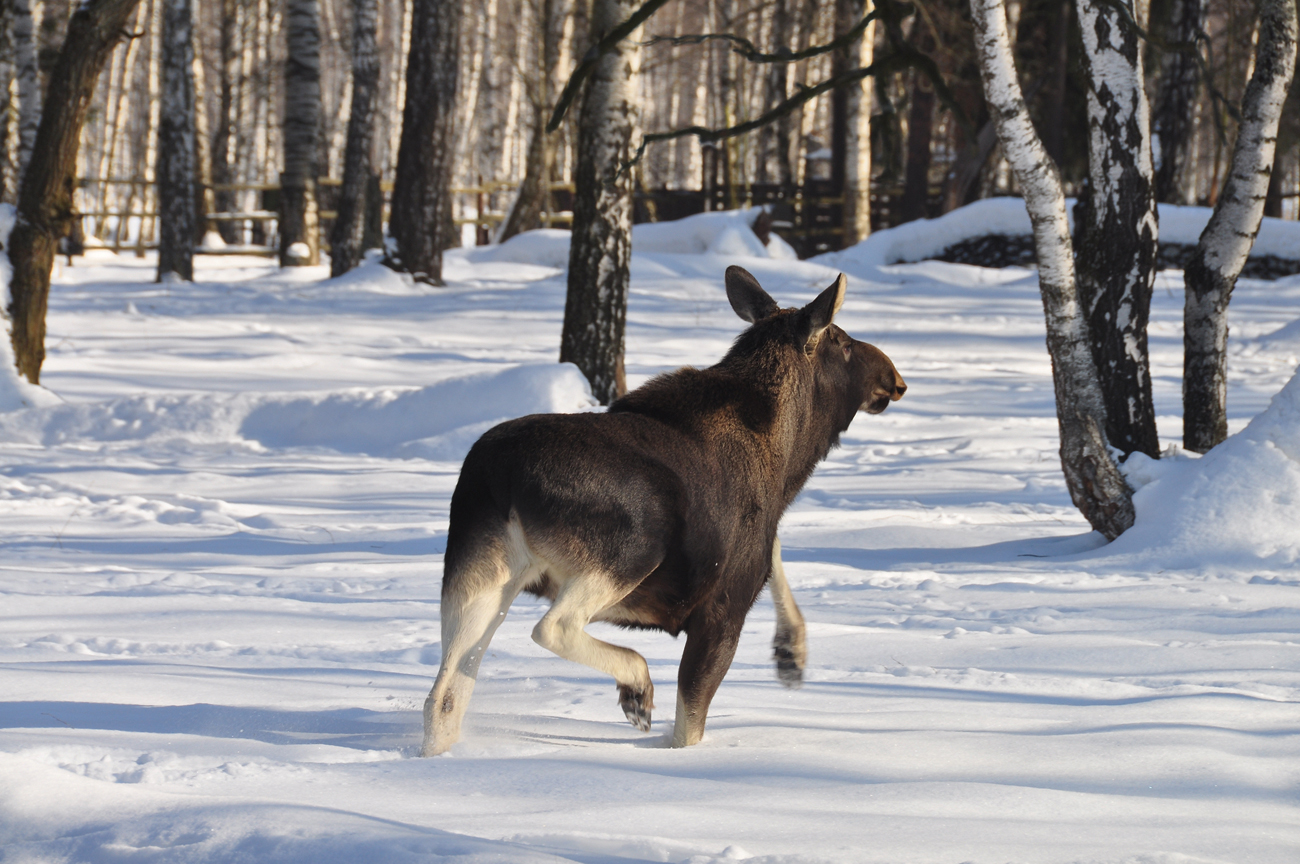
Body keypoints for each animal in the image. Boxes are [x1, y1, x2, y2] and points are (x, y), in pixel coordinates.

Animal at [423, 265, 904, 753]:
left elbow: (777, 550)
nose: (894, 376)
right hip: (633, 546)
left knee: (443, 697)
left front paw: (792, 649)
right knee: (552, 627)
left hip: (481, 576)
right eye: (842, 341)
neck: (789, 463)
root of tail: (502, 477)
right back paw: (636, 685)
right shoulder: (720, 613)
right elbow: (687, 729)